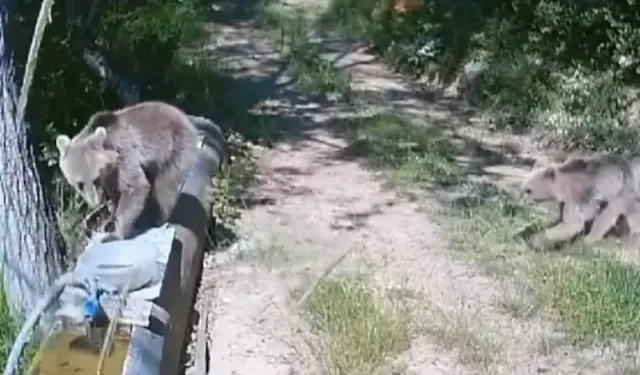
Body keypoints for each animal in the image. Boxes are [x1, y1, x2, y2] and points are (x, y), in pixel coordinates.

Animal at [57, 100, 200, 241]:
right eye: (80, 184)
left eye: (95, 180)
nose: (96, 203)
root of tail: (181, 114)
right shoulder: (112, 175)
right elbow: (117, 194)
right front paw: (110, 219)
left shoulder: (124, 157)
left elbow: (135, 187)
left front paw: (115, 234)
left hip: (175, 148)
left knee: (164, 186)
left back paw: (157, 218)